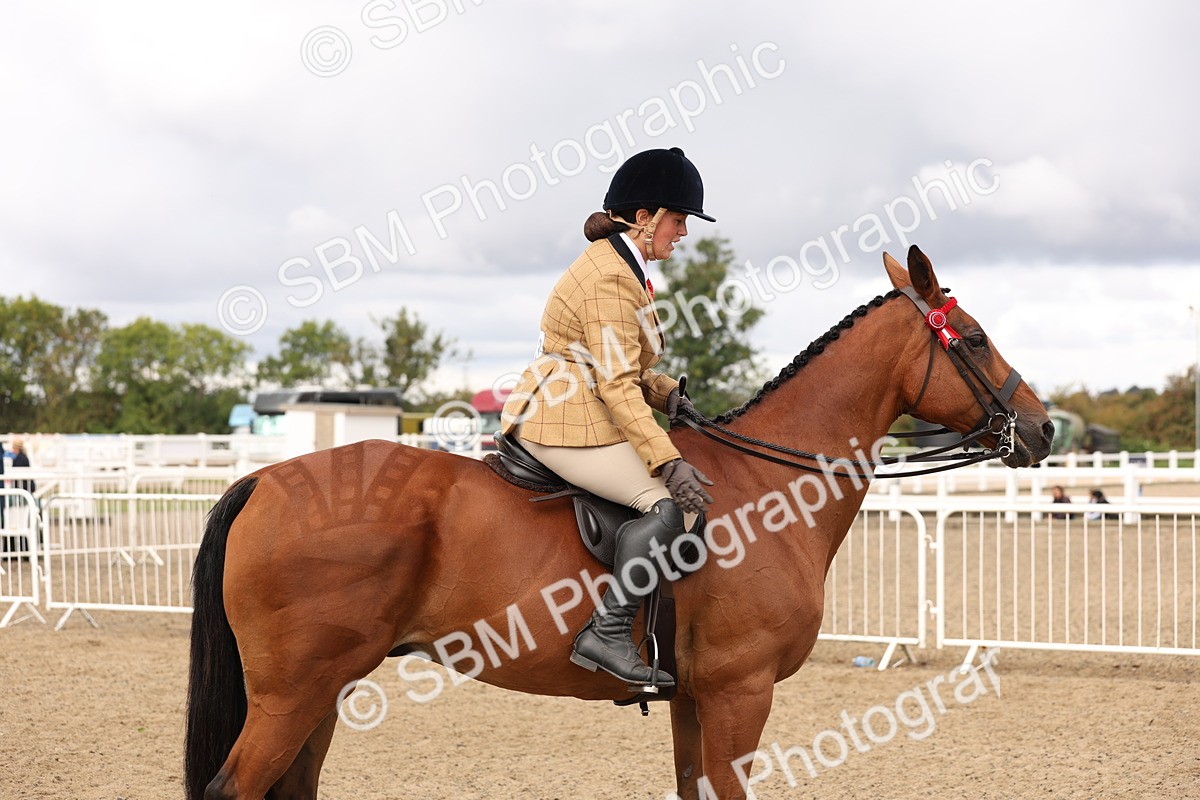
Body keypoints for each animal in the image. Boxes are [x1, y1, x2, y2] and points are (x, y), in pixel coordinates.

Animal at [185, 246, 1053, 799]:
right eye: (976, 339)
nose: (1043, 431)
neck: (768, 482)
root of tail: (263, 480)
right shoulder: (740, 693)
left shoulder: (697, 699)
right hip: (295, 692)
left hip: (324, 691)